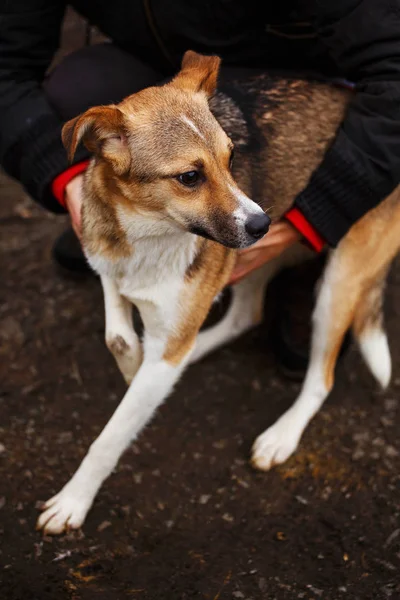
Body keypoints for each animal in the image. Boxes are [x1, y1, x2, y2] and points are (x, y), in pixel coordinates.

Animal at [36, 49, 400, 532]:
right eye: (190, 176)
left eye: (231, 158)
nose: (264, 224)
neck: (149, 234)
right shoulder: (105, 260)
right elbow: (117, 331)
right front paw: (132, 361)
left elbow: (111, 436)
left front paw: (74, 499)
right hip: (254, 262)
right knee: (245, 314)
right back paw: (193, 352)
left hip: (339, 280)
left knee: (321, 378)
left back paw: (281, 435)